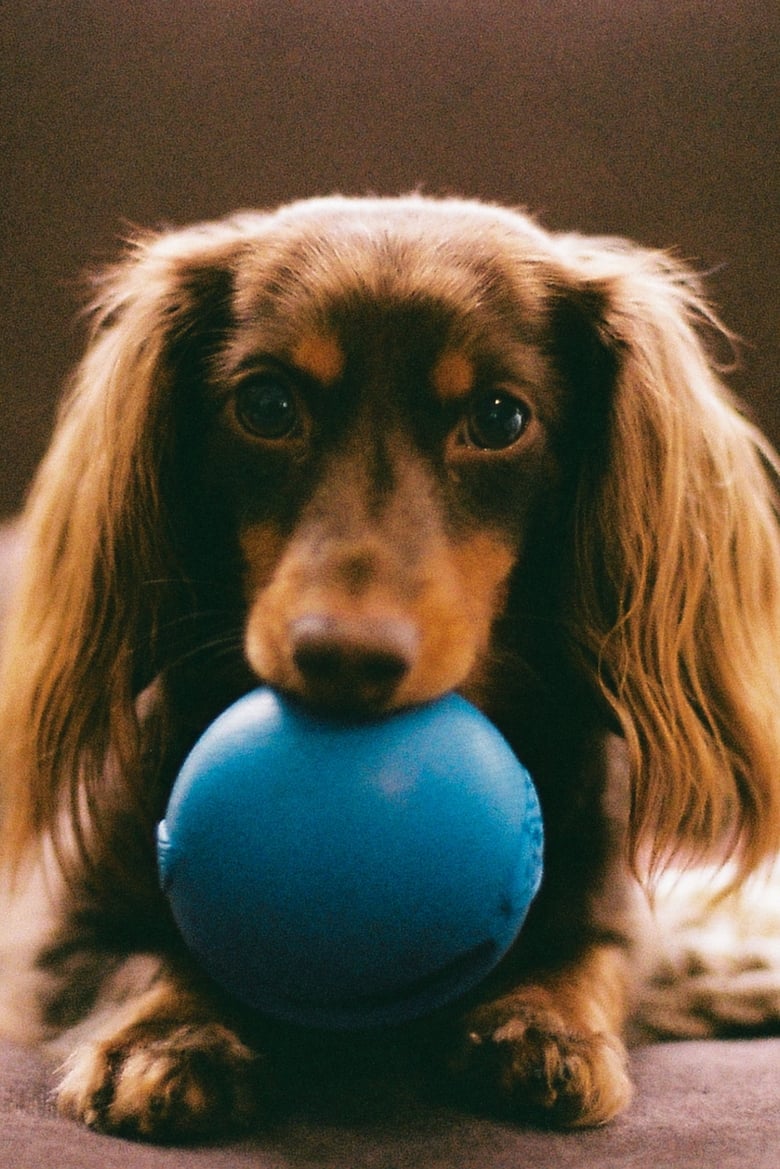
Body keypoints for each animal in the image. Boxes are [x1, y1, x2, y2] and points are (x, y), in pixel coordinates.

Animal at [1, 198, 780, 1140]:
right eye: (266, 403)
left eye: (500, 418)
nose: (343, 656)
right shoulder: (53, 934)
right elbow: (145, 955)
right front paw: (169, 1034)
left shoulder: (609, 898)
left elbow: (590, 954)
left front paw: (547, 1021)